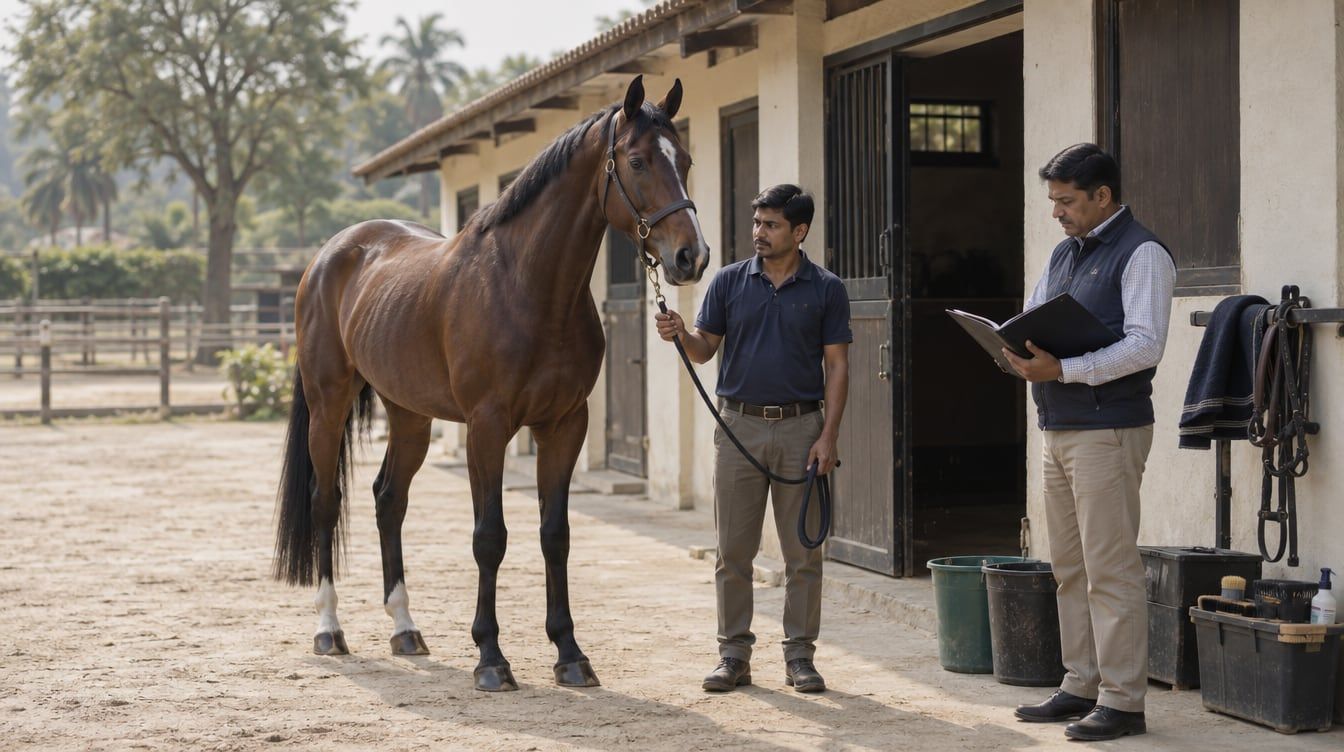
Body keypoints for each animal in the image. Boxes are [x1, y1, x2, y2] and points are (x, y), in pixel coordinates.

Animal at [272, 76, 710, 692]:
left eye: (687, 160)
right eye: (639, 161)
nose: (692, 256)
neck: (528, 287)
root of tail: (327, 257)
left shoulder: (564, 425)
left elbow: (555, 534)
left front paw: (570, 653)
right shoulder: (487, 427)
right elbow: (490, 537)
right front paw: (491, 658)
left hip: (409, 413)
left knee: (389, 499)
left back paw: (405, 628)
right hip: (328, 402)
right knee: (326, 501)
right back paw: (329, 630)